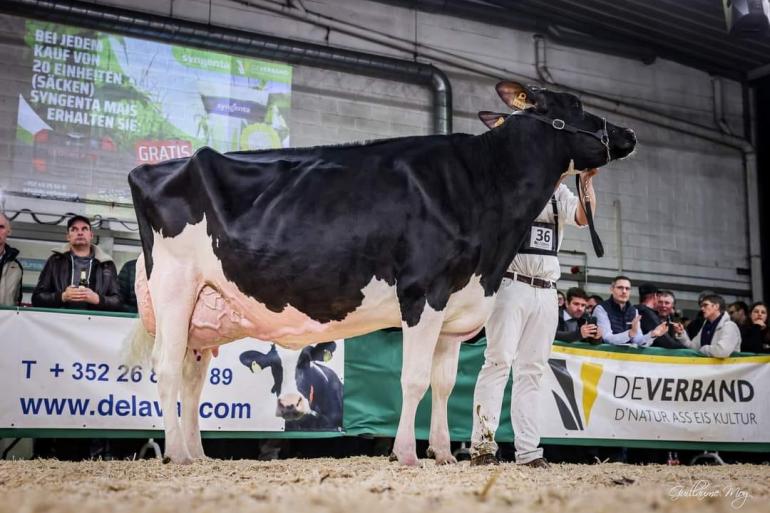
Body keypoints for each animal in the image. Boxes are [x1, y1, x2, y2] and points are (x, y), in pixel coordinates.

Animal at [129, 80, 632, 464]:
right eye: (576, 106)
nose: (627, 133)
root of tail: (154, 168)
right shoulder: (423, 293)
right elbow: (413, 379)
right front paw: (406, 453)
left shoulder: (456, 308)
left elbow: (444, 384)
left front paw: (444, 454)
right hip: (175, 286)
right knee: (167, 368)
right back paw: (176, 453)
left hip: (204, 312)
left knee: (192, 378)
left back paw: (198, 454)